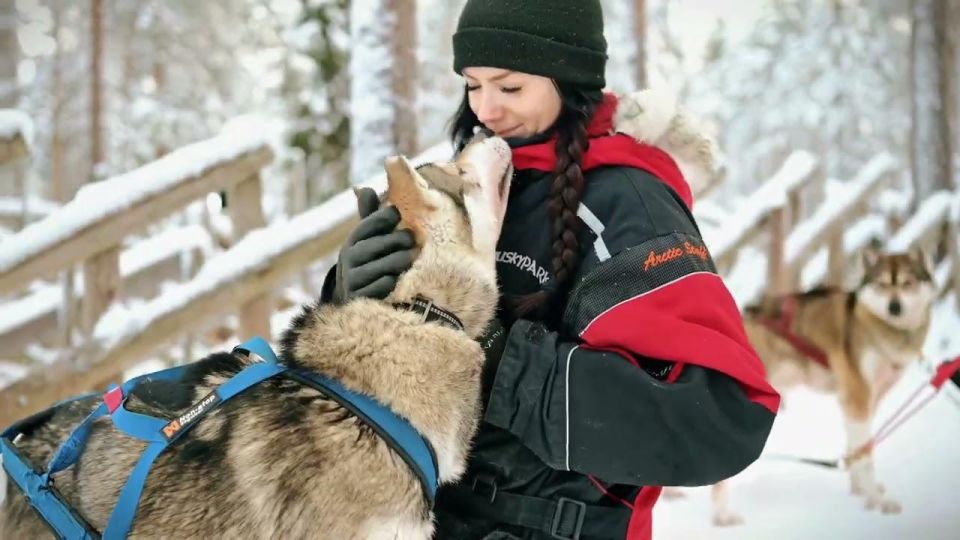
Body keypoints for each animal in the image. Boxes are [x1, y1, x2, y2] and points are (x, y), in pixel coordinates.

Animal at [704, 248, 928, 524]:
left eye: (908, 283)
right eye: (882, 284)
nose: (894, 307)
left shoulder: (863, 402)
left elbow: (857, 450)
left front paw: (861, 491)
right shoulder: (857, 396)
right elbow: (864, 455)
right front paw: (877, 500)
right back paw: (723, 516)